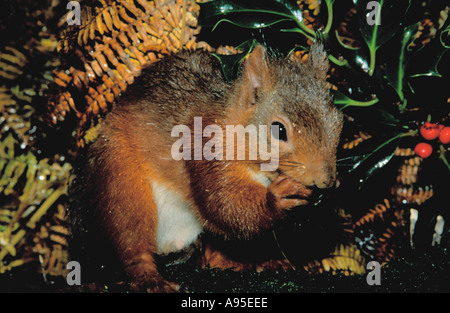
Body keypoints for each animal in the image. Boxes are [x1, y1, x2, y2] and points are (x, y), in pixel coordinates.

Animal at [67, 40, 342, 290]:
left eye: (339, 122)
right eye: (279, 130)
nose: (325, 180)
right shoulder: (206, 150)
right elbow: (223, 203)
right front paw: (275, 199)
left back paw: (245, 263)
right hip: (120, 180)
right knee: (130, 238)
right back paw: (150, 279)